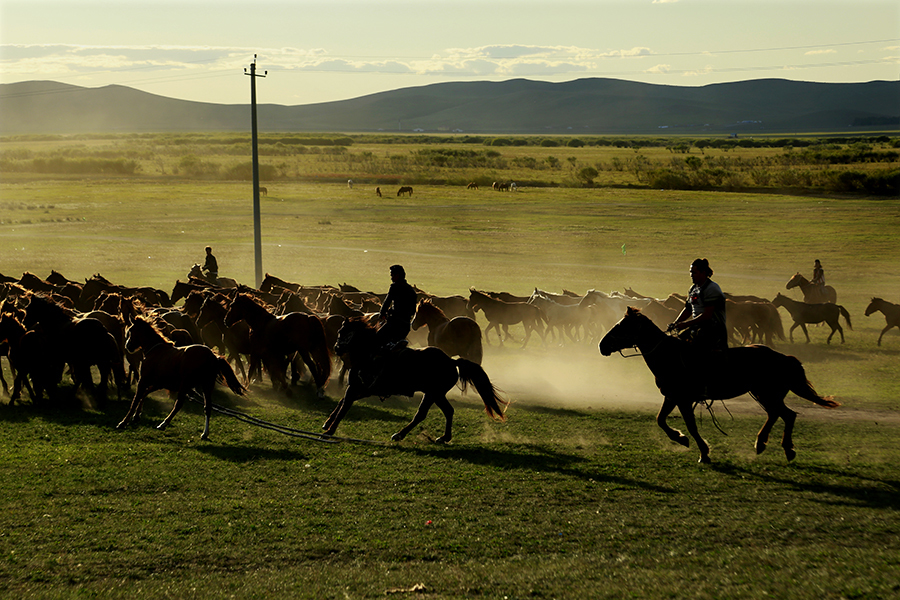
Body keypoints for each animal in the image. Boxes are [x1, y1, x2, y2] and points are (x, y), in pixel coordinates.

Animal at [118, 318, 250, 440]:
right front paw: (136, 416)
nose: (128, 346)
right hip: (206, 386)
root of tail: (212, 356)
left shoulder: (143, 380)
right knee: (207, 407)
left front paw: (123, 422)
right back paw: (204, 433)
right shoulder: (158, 383)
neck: (156, 350)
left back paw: (163, 424)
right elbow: (144, 394)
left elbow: (136, 400)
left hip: (186, 385)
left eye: (131, 331)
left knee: (178, 405)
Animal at [322, 318, 506, 440]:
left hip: (433, 393)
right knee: (448, 411)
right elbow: (342, 403)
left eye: (344, 333)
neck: (368, 355)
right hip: (436, 394)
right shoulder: (357, 388)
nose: (336, 348)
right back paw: (444, 437)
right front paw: (327, 424)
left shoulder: (360, 389)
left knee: (421, 414)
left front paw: (330, 431)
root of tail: (451, 361)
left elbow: (344, 406)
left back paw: (399, 434)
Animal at [600, 308, 840, 466]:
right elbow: (661, 419)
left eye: (622, 326)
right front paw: (680, 438)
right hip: (763, 394)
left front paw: (703, 452)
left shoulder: (684, 400)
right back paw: (761, 444)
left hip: (767, 394)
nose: (602, 345)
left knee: (787, 415)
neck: (669, 356)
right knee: (776, 414)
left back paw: (787, 449)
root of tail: (782, 357)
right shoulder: (672, 397)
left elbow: (691, 426)